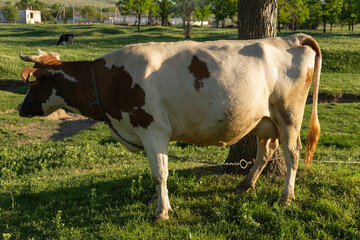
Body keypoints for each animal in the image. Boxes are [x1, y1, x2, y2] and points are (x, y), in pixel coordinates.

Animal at [18, 33, 320, 221]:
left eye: (33, 82)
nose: (21, 108)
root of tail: (291, 38)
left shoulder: (154, 130)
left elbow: (159, 173)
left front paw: (161, 210)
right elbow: (156, 171)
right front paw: (155, 200)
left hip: (289, 115)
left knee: (292, 153)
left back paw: (286, 197)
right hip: (263, 120)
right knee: (265, 151)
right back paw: (246, 185)